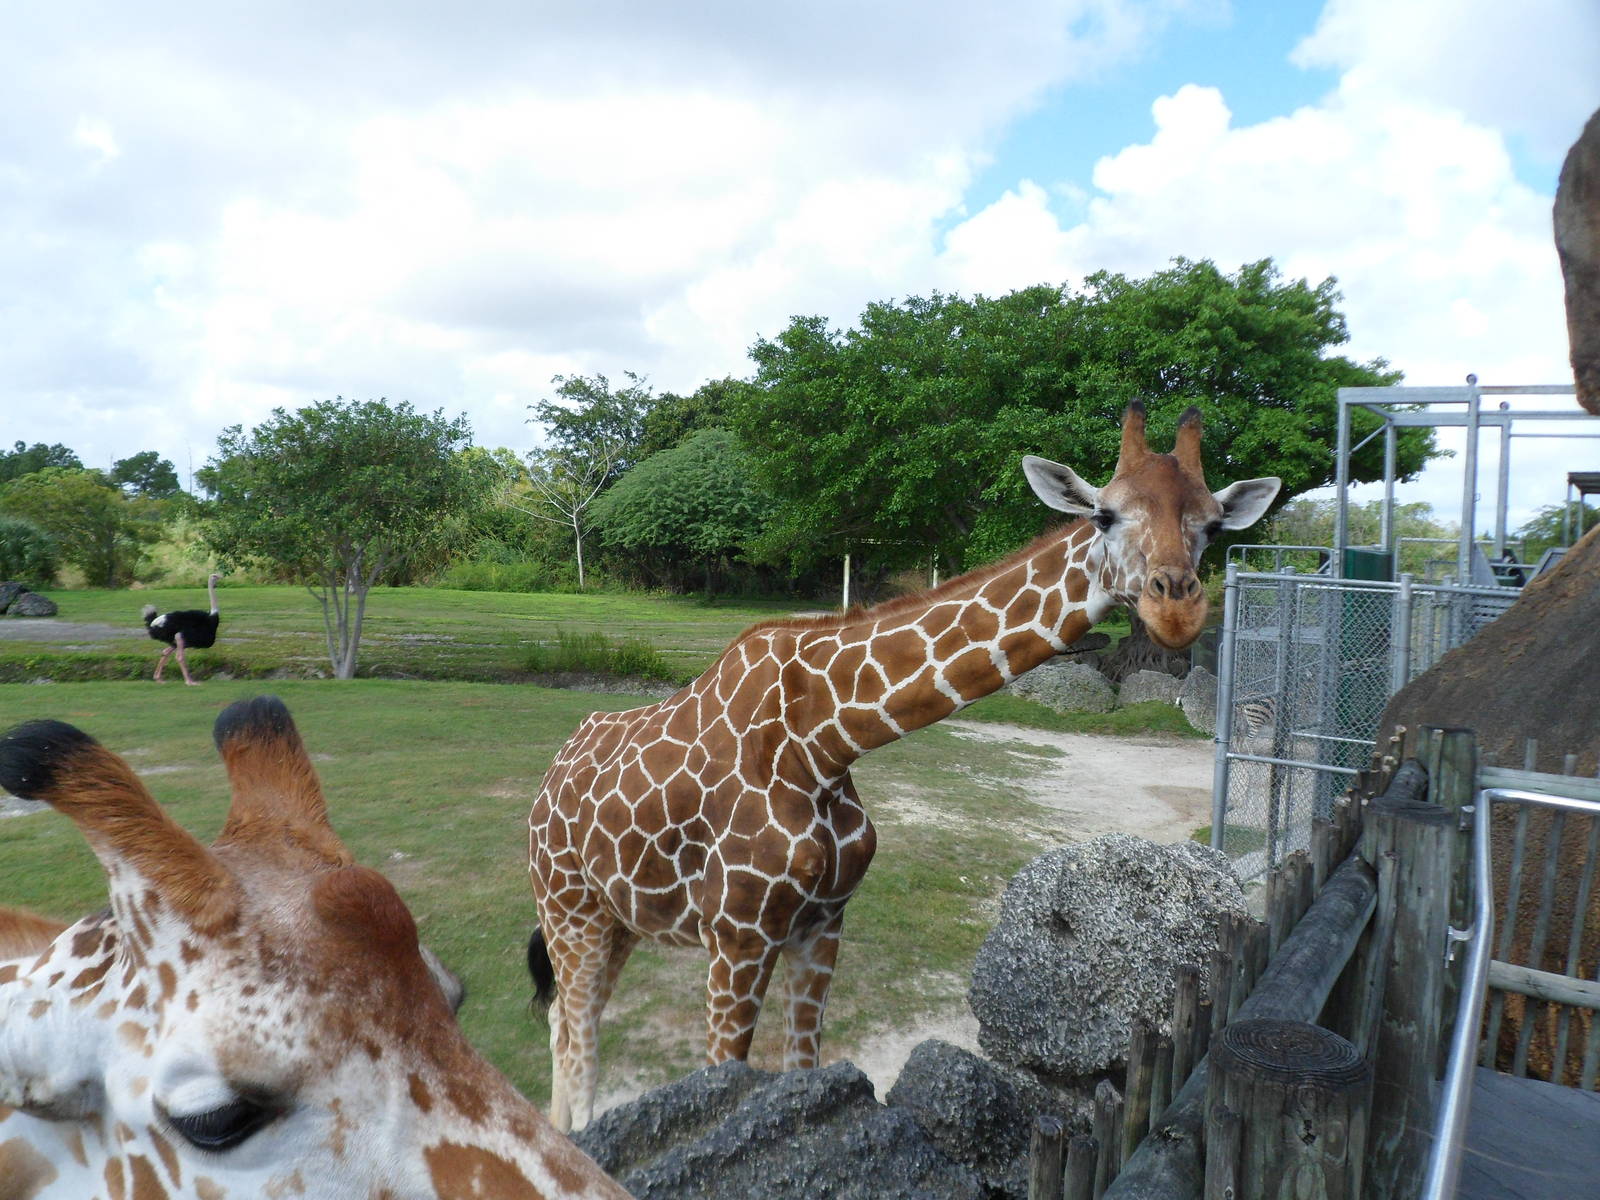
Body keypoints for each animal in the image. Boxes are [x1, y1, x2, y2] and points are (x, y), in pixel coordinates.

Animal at [527, 402, 1280, 1131]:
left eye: (1213, 524)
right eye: (1105, 513)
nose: (1176, 608)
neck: (823, 743)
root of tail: (550, 780)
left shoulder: (822, 922)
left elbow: (804, 1065)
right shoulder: (739, 932)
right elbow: (721, 1071)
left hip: (618, 919)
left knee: (566, 1017)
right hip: (569, 907)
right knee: (574, 1031)